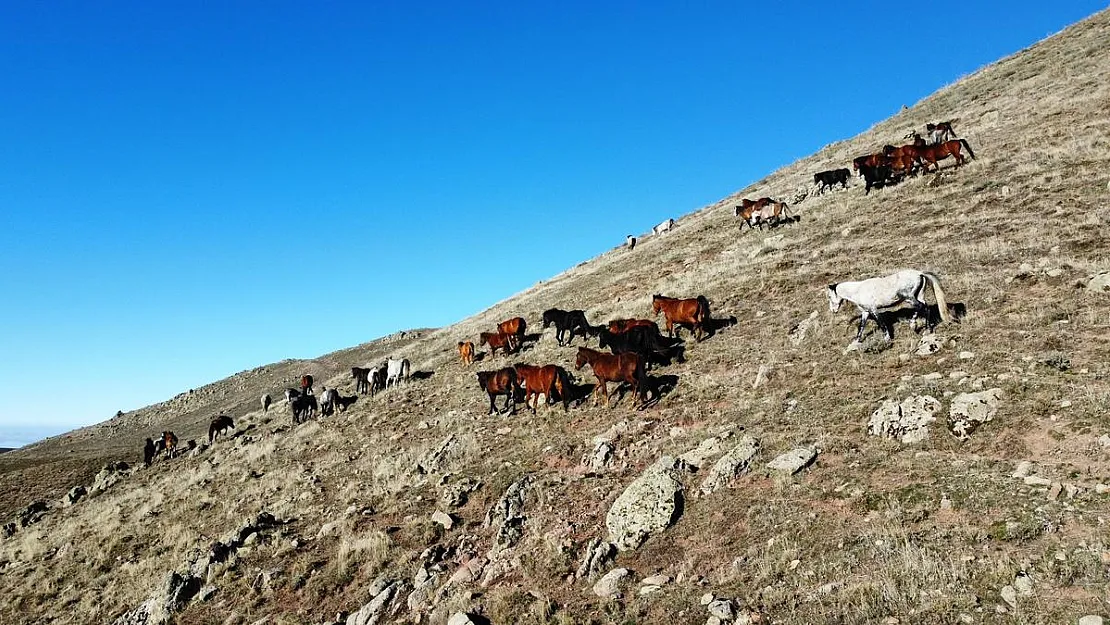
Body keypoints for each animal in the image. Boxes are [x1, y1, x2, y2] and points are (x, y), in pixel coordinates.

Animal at [825, 269, 954, 344]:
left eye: (830, 297)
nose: (833, 310)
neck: (858, 290)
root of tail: (919, 273)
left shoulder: (874, 310)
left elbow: (882, 324)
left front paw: (887, 339)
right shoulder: (866, 312)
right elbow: (861, 326)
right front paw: (856, 341)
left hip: (909, 298)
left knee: (922, 307)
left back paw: (918, 327)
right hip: (919, 295)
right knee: (924, 307)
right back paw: (924, 328)